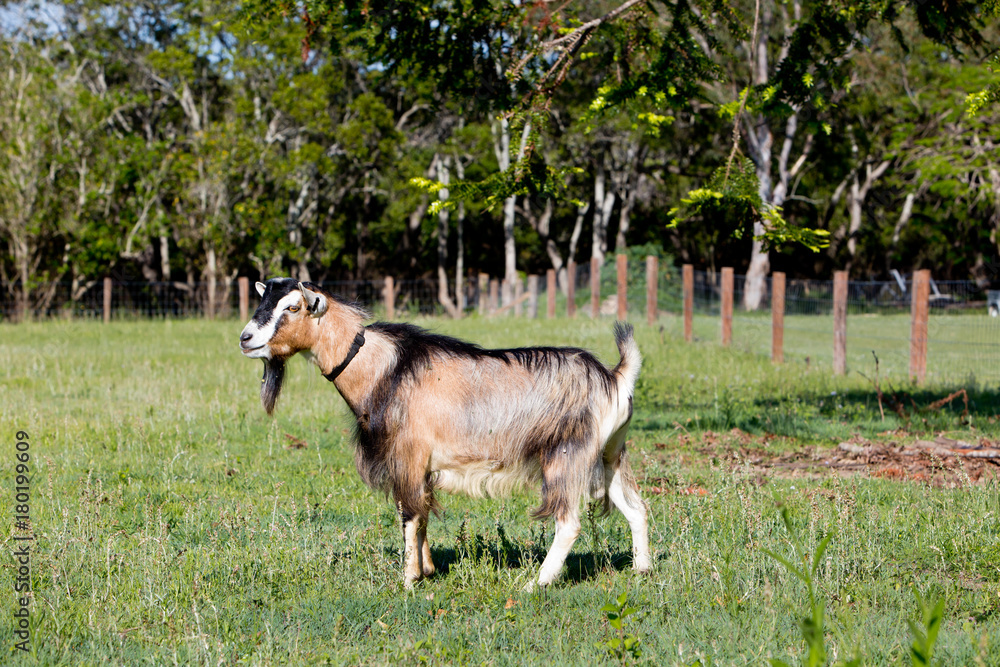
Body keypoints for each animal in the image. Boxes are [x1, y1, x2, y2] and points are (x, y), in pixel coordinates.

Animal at [239, 278, 650, 589]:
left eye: (293, 308)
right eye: (263, 300)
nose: (245, 338)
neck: (383, 368)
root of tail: (613, 377)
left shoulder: (407, 455)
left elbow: (409, 514)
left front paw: (408, 581)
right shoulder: (420, 466)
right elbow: (420, 515)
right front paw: (427, 570)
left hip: (566, 454)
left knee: (569, 523)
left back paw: (537, 582)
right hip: (608, 455)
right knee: (636, 508)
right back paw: (641, 570)